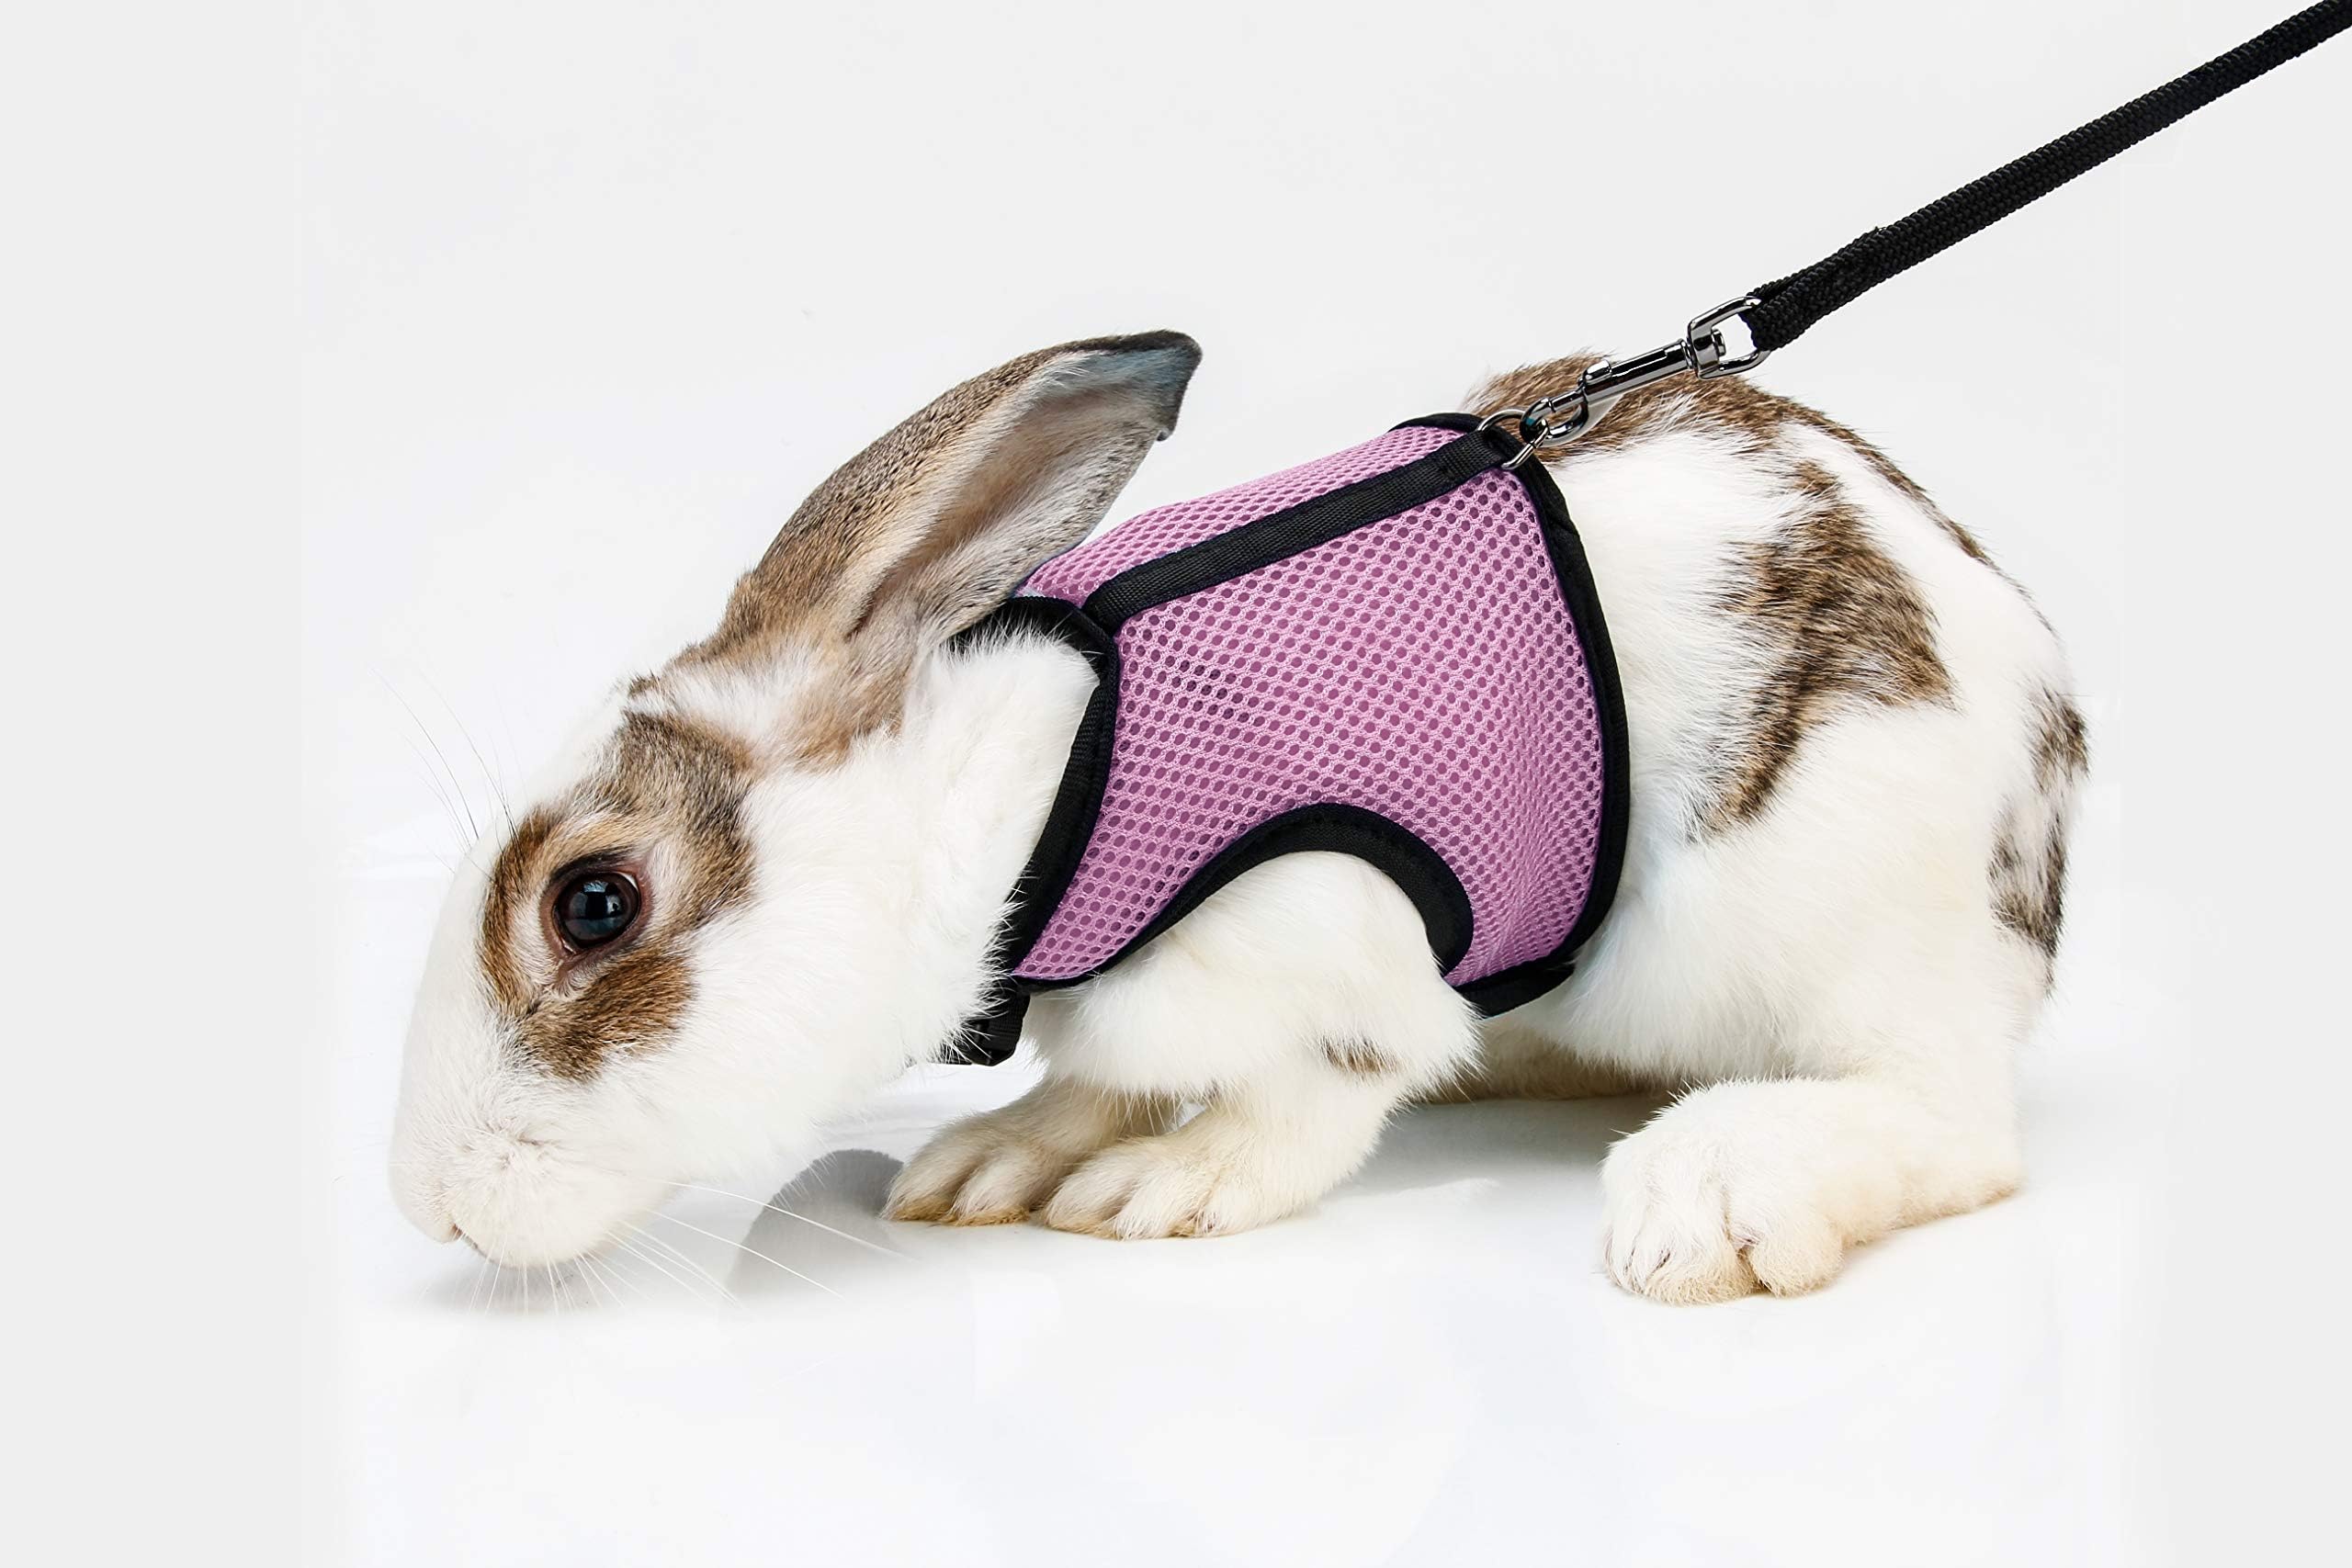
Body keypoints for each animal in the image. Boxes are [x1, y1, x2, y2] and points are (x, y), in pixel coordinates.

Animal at [390, 329, 2083, 1303]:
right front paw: (997, 1164)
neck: (1045, 807)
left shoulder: (1336, 933)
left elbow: (1317, 1092)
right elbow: (1097, 1079)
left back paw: (1711, 1196)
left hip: (1839, 919)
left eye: (592, 901)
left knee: (1951, 1122)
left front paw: (1162, 1187)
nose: (426, 1207)